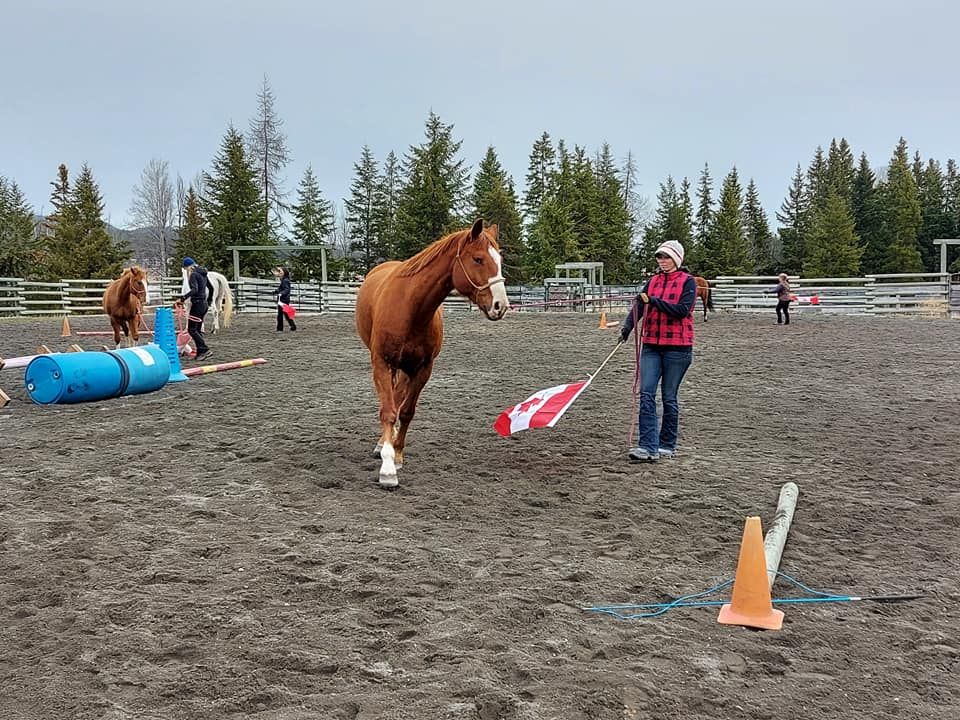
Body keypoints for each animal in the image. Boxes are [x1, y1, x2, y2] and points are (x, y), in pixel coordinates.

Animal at [356, 218, 510, 490]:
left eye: (500, 260)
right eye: (478, 259)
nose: (500, 306)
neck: (411, 308)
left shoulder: (423, 368)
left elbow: (406, 411)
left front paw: (397, 455)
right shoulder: (382, 363)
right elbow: (388, 411)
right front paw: (387, 469)